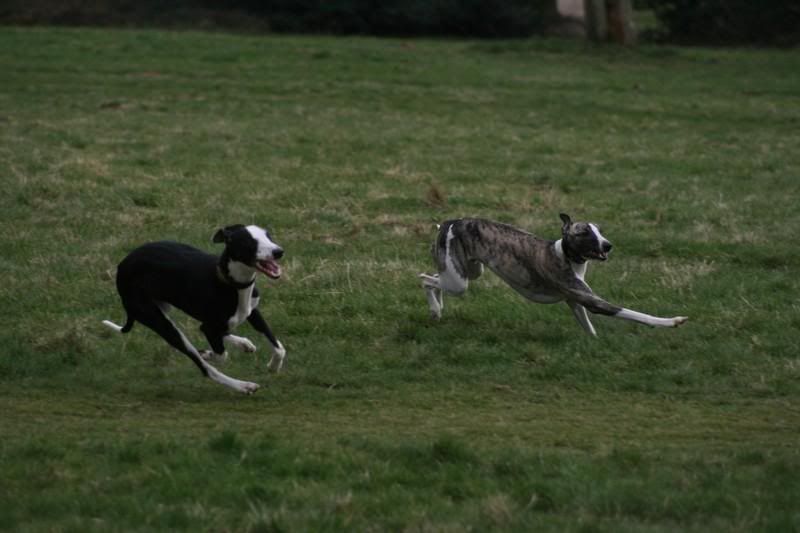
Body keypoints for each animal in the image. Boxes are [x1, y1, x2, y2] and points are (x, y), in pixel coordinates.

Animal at [101, 222, 286, 392]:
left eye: (268, 236)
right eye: (249, 241)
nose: (279, 252)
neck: (230, 282)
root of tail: (122, 266)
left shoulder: (252, 311)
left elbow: (279, 348)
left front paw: (273, 367)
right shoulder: (210, 327)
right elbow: (221, 355)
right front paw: (207, 353)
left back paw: (243, 344)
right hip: (161, 323)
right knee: (206, 368)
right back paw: (242, 385)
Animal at [418, 213, 688, 334]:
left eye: (599, 231)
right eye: (584, 232)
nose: (608, 245)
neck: (566, 256)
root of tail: (449, 222)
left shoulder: (575, 301)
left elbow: (589, 329)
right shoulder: (592, 302)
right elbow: (635, 314)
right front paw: (673, 321)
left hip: (470, 270)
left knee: (434, 278)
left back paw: (437, 310)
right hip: (459, 282)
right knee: (424, 279)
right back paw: (435, 308)